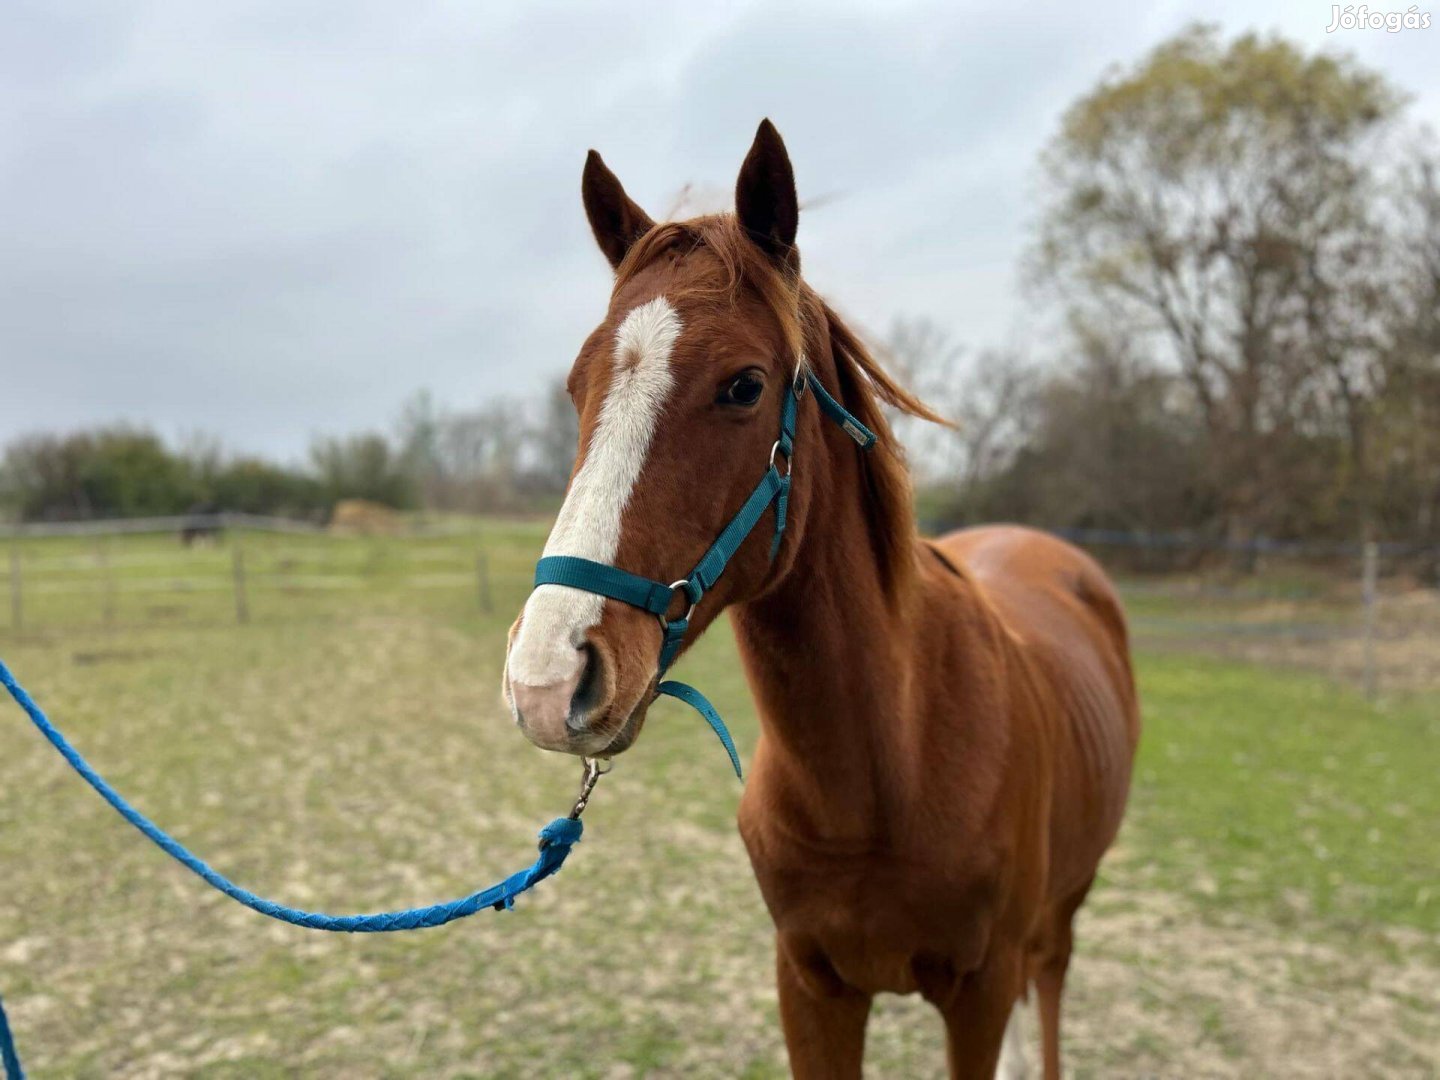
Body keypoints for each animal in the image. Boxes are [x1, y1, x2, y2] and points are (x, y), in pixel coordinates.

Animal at [504, 122, 1134, 1077]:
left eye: (744, 385)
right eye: (579, 386)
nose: (547, 678)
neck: (890, 766)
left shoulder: (980, 993)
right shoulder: (809, 985)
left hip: (1058, 925)